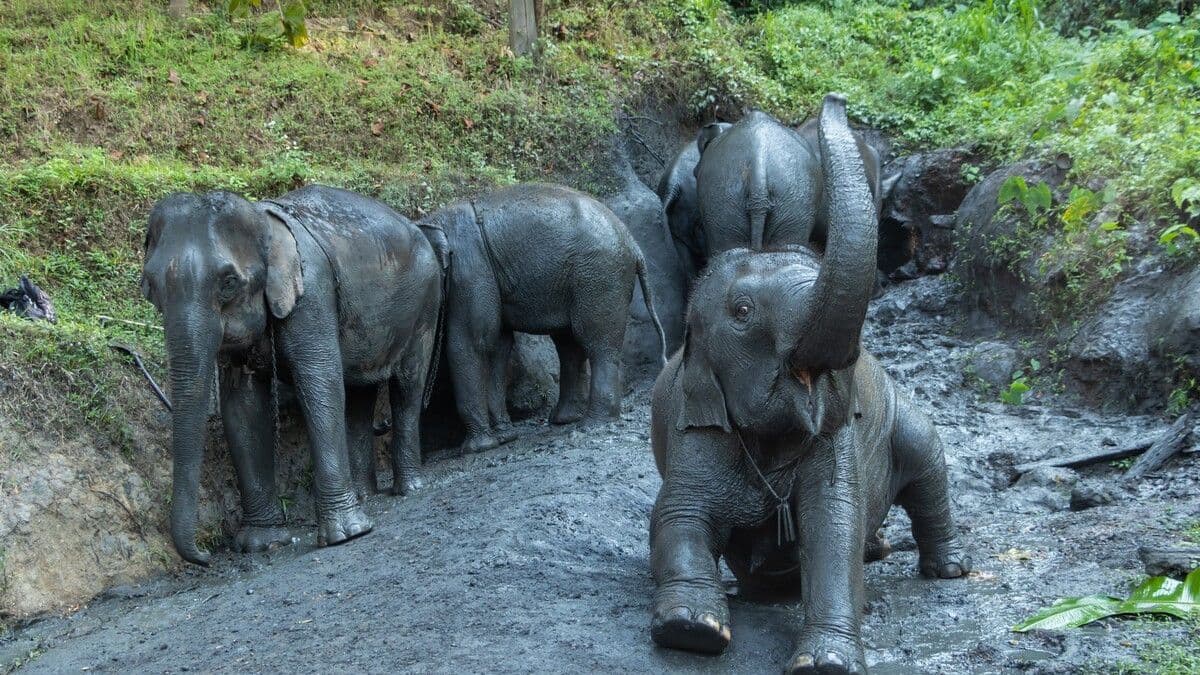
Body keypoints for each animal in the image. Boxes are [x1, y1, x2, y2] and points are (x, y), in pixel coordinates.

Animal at [141, 184, 442, 565]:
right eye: (150, 287)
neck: (261, 221)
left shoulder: (312, 294)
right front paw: (262, 544)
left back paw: (409, 489)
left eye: (228, 282)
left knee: (406, 385)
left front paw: (346, 535)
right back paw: (365, 495)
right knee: (359, 392)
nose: (206, 556)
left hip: (426, 302)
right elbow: (242, 408)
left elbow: (320, 383)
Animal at [418, 183, 667, 454]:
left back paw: (592, 423)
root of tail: (634, 245)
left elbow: (470, 343)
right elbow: (498, 345)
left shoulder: (469, 271)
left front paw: (478, 448)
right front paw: (505, 437)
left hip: (600, 277)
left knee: (595, 343)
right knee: (569, 345)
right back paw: (564, 419)